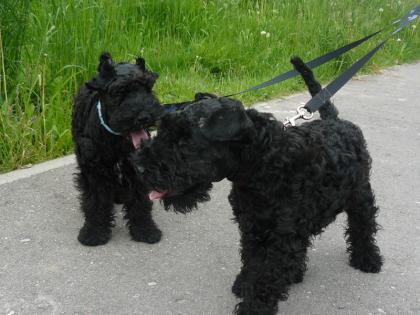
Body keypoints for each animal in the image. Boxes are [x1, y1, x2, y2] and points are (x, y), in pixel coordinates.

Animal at [71, 52, 165, 247]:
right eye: (119, 91)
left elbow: (140, 203)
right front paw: (94, 232)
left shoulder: (136, 171)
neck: (116, 139)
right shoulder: (94, 173)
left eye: (148, 87)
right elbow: (95, 203)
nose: (144, 117)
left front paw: (145, 230)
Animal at [132, 58, 384, 314]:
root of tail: (336, 121)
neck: (265, 164)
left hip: (360, 197)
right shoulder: (253, 225)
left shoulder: (279, 237)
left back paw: (368, 259)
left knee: (363, 226)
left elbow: (266, 275)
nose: (139, 166)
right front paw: (245, 283)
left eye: (184, 141)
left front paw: (253, 307)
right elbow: (252, 261)